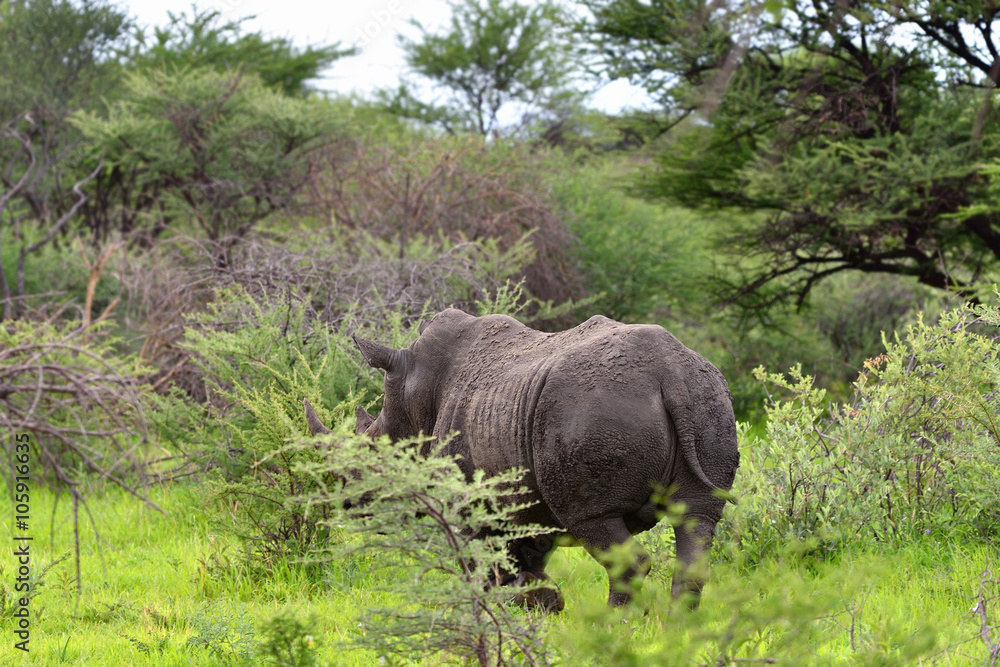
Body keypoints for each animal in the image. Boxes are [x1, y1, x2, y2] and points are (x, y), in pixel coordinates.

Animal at [306, 308, 740, 609]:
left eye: (369, 456)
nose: (347, 503)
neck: (413, 396)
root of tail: (670, 373)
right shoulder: (523, 503)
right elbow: (527, 566)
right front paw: (538, 607)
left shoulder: (471, 505)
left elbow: (480, 568)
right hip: (709, 398)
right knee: (697, 519)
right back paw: (676, 633)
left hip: (592, 409)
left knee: (595, 521)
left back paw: (615, 629)